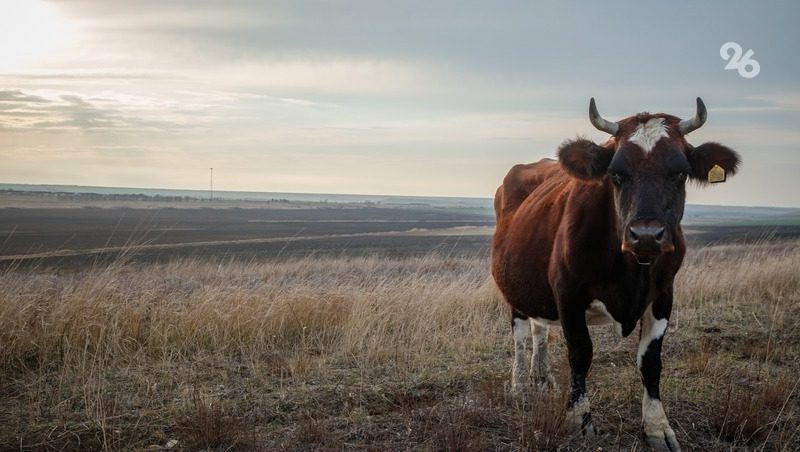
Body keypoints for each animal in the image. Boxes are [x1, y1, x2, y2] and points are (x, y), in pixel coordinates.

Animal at [490, 97, 740, 450]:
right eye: (615, 174)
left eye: (680, 173)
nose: (646, 235)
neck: (631, 270)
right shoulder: (568, 293)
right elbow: (580, 353)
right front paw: (579, 421)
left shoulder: (664, 295)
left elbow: (651, 362)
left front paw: (657, 428)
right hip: (515, 285)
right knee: (522, 336)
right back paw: (520, 388)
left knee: (540, 331)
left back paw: (544, 380)